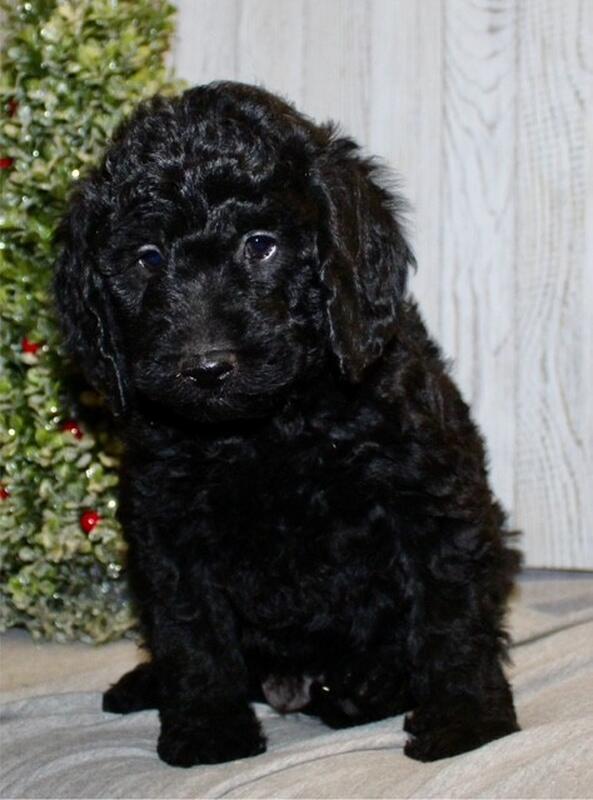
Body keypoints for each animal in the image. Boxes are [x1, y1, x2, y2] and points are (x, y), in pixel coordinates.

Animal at [54, 81, 521, 767]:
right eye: (147, 258)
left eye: (260, 245)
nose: (207, 367)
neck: (267, 428)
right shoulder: (168, 524)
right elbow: (192, 631)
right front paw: (208, 730)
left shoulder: (429, 497)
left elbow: (450, 614)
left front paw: (467, 719)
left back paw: (362, 690)